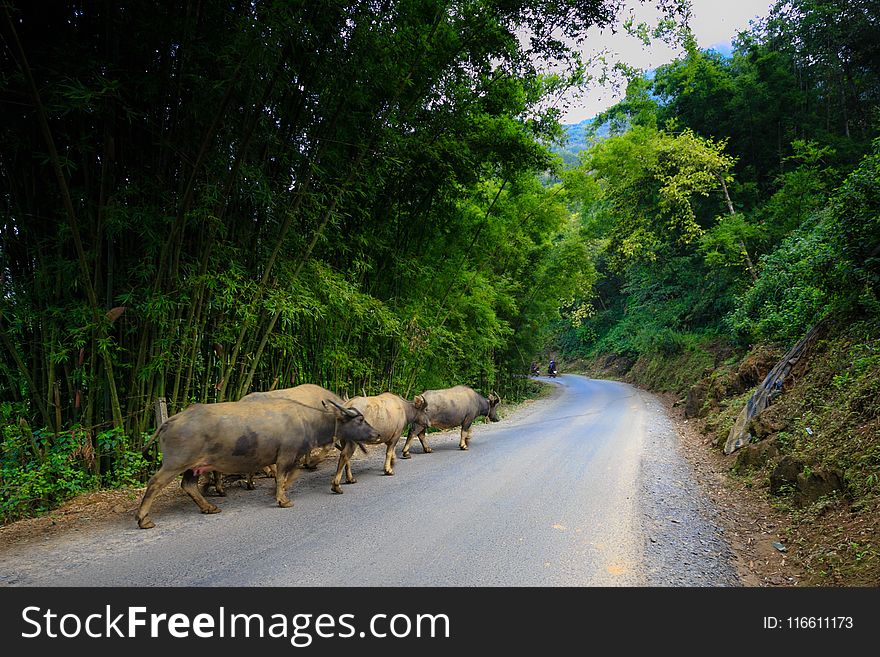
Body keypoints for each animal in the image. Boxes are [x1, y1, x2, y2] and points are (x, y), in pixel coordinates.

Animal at [136, 394, 376, 528]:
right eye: (360, 420)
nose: (375, 434)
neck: (307, 420)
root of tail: (171, 420)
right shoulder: (286, 455)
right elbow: (283, 476)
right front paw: (282, 499)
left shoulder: (295, 456)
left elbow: (291, 475)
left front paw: (275, 492)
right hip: (176, 463)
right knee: (154, 483)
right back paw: (143, 519)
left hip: (194, 466)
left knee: (188, 485)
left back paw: (209, 507)